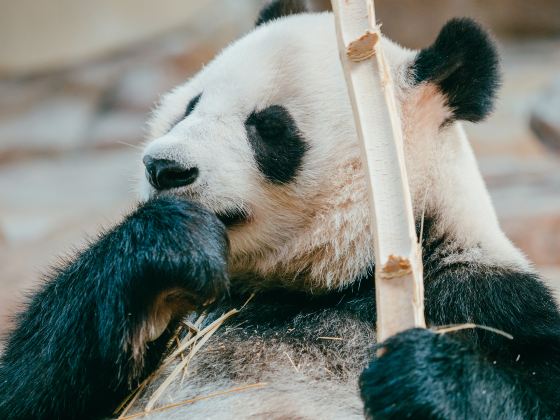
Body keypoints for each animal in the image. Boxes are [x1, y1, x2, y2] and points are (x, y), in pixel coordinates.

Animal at [1, 1, 560, 418]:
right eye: (190, 105)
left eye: (269, 126)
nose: (164, 168)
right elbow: (28, 386)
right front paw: (172, 244)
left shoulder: (480, 296)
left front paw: (421, 376)